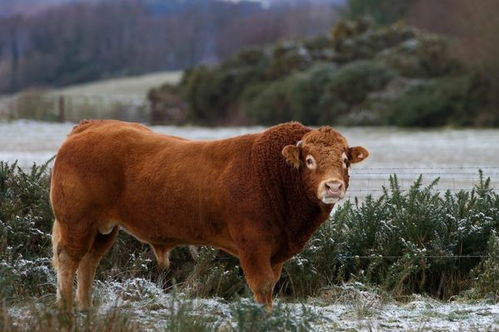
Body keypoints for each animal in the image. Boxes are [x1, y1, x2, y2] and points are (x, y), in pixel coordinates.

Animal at [50, 120, 370, 310]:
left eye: (344, 159)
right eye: (309, 160)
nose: (333, 186)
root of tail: (90, 125)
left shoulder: (276, 253)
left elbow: (271, 285)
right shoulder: (253, 247)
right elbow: (262, 286)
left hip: (104, 228)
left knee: (89, 262)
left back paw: (86, 308)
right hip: (77, 221)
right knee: (69, 259)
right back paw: (66, 309)